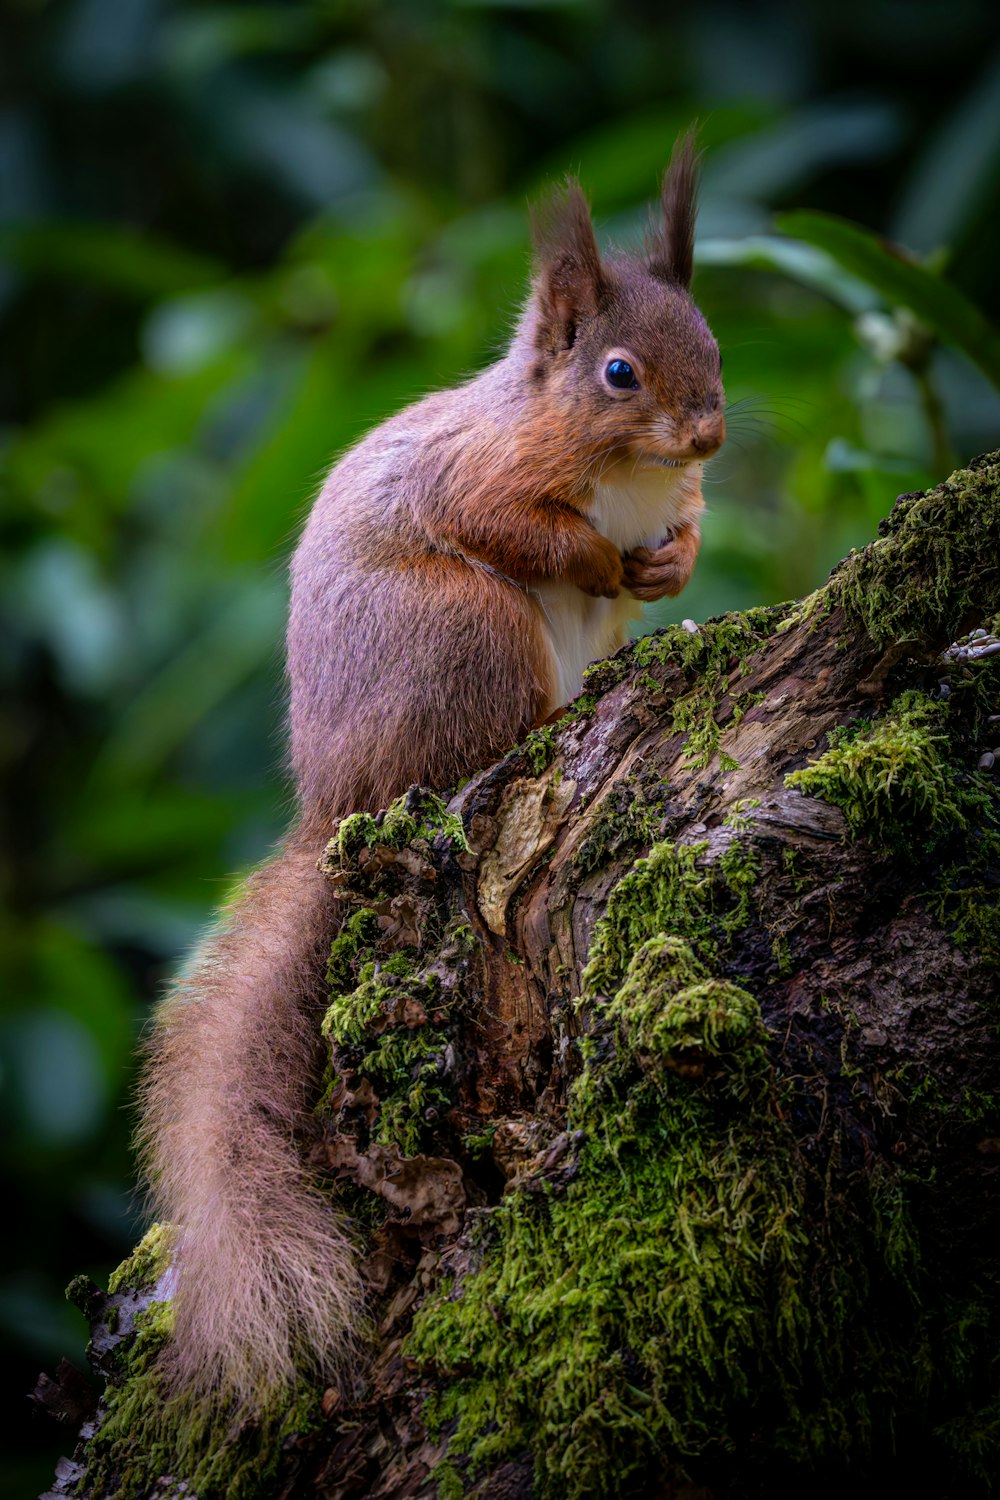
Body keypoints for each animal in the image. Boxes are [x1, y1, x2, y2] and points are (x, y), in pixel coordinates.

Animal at [137, 132, 722, 1404]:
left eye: (712, 343)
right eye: (616, 372)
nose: (708, 435)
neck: (620, 469)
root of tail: (338, 803)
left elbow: (687, 533)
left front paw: (670, 566)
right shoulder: (479, 480)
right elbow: (525, 528)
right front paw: (597, 556)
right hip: (471, 632)